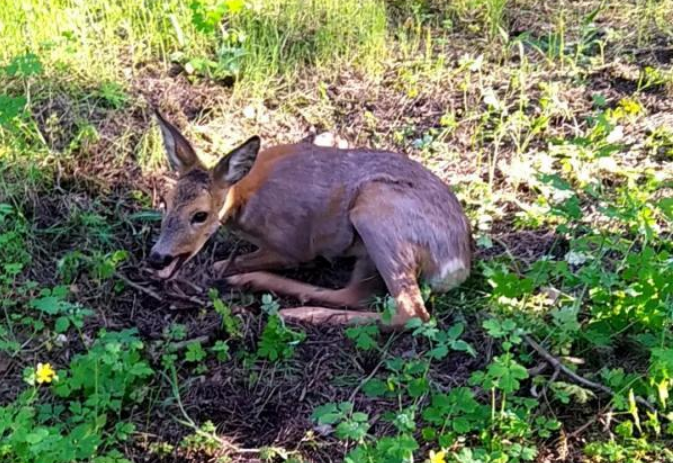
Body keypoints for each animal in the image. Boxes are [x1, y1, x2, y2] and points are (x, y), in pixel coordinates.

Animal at [147, 111, 476, 330]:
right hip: (370, 243)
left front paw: (219, 270)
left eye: (199, 215)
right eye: (166, 202)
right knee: (358, 294)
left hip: (376, 212)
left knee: (412, 313)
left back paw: (291, 312)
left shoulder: (292, 245)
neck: (243, 198)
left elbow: (233, 260)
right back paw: (259, 289)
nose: (157, 257)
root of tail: (457, 263)